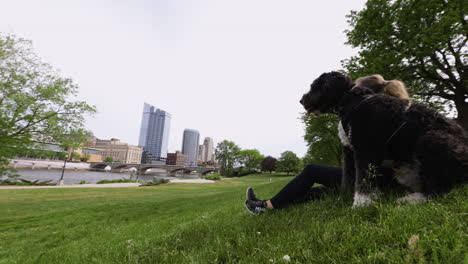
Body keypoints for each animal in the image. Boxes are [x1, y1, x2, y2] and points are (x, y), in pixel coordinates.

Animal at [300, 71, 468, 206]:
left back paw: (411, 199)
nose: (302, 100)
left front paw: (360, 205)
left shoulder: (364, 151)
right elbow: (347, 181)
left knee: (440, 188)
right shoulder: (349, 152)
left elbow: (362, 181)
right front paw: (343, 200)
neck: (350, 101)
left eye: (314, 86)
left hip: (430, 140)